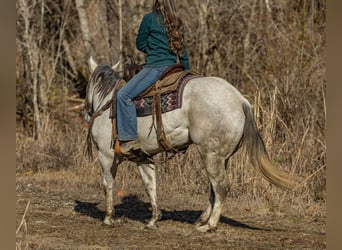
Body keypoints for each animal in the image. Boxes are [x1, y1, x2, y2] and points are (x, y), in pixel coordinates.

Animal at [84, 56, 296, 232]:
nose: (87, 112)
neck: (108, 102)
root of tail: (240, 100)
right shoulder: (143, 157)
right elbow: (150, 184)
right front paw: (153, 219)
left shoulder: (106, 155)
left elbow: (107, 183)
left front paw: (108, 218)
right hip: (221, 157)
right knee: (214, 188)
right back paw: (202, 219)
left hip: (210, 155)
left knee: (221, 187)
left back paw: (209, 226)